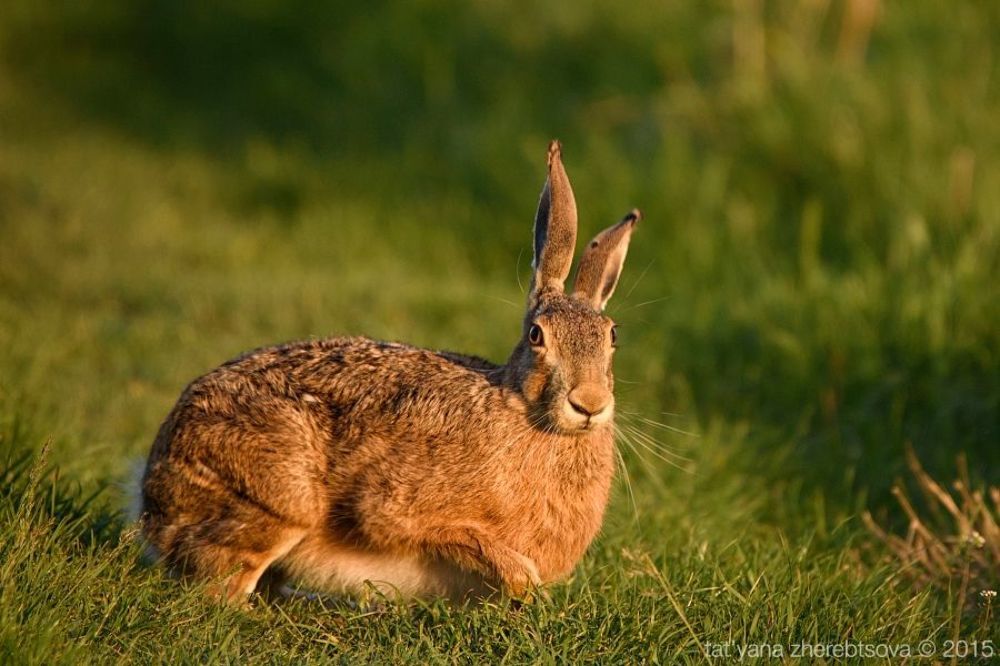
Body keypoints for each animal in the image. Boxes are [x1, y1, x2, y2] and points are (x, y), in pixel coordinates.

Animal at [138, 140, 640, 604]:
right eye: (538, 335)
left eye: (613, 336)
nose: (590, 403)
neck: (526, 410)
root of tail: (152, 484)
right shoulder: (395, 505)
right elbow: (457, 536)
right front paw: (523, 578)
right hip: (278, 497)